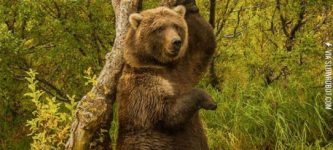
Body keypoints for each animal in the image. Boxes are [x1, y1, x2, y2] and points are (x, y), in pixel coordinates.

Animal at [115, 5, 217, 149]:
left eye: (176, 26)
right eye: (159, 28)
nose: (176, 42)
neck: (162, 65)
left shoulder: (184, 68)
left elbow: (204, 45)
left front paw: (190, 6)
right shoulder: (142, 82)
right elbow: (165, 112)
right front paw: (209, 100)